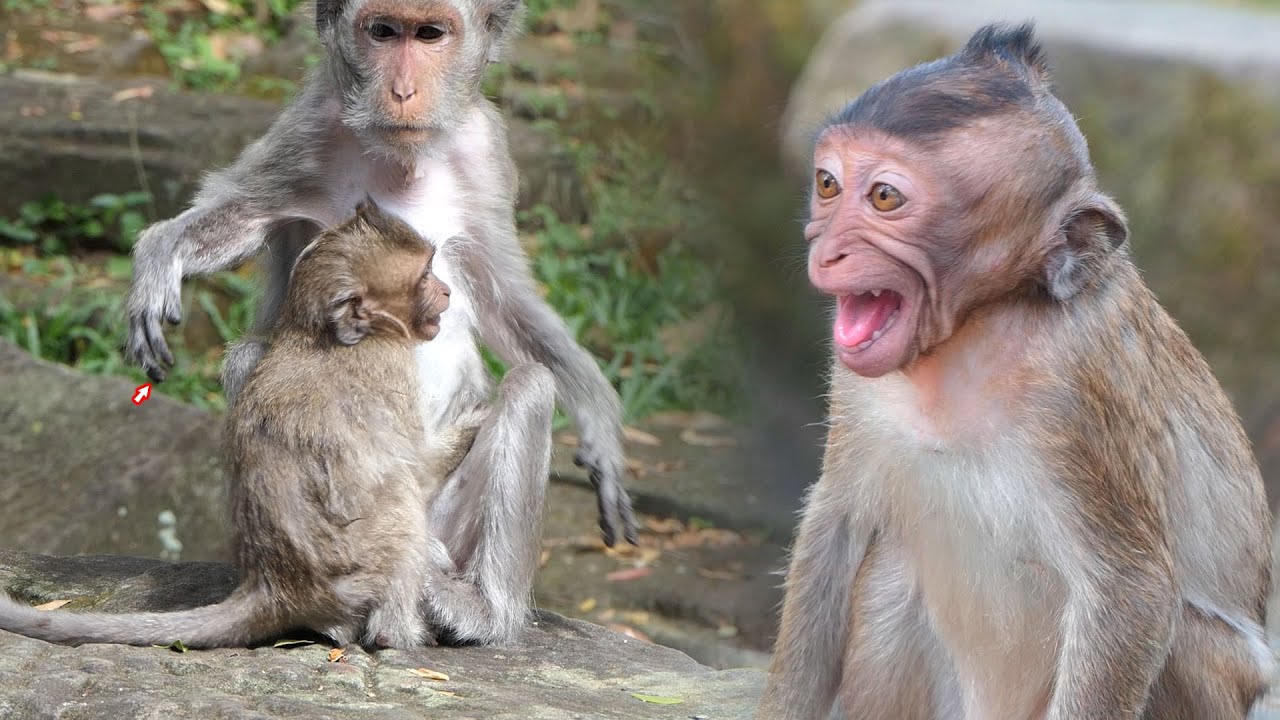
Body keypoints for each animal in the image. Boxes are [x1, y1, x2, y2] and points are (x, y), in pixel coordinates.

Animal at [0, 201, 474, 650]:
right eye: (425, 275)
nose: (446, 290)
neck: (319, 334)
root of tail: (275, 587)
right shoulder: (392, 369)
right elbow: (418, 465)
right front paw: (475, 419)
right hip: (354, 572)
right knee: (399, 502)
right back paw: (397, 635)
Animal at [123, 0, 638, 558]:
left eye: (429, 34)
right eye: (384, 32)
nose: (403, 92)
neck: (404, 162)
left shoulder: (486, 152)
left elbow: (503, 298)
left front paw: (600, 429)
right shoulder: (308, 128)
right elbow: (243, 216)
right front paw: (161, 249)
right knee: (251, 358)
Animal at [757, 24, 1273, 720]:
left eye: (885, 197)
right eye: (828, 184)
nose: (827, 248)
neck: (979, 326)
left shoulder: (1078, 391)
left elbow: (1132, 592)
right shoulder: (855, 387)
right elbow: (835, 522)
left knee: (1185, 638)